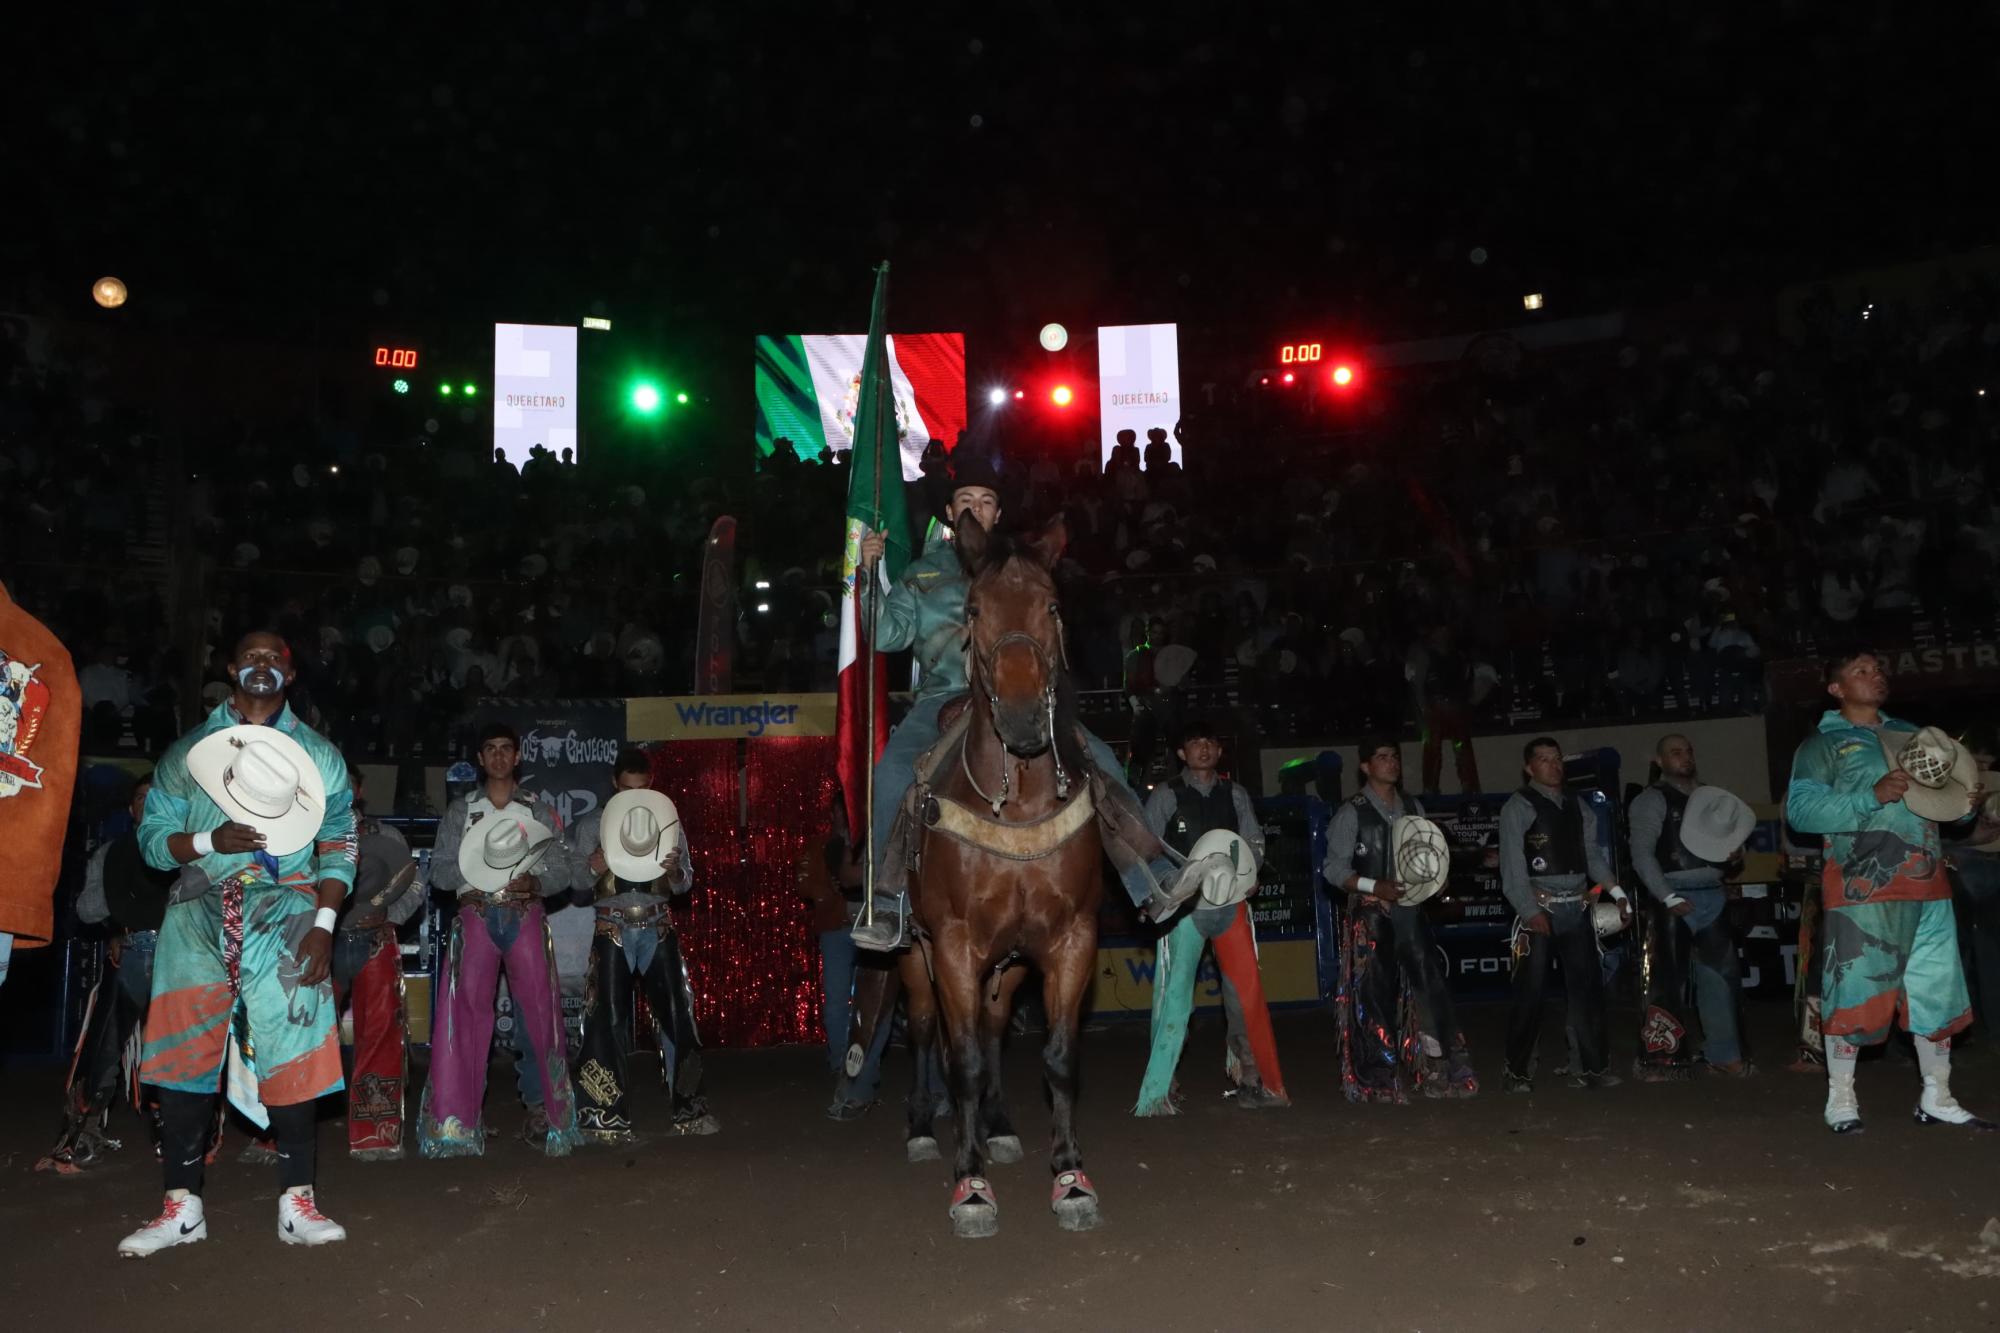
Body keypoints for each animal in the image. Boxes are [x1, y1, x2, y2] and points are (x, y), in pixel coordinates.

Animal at [872, 510, 1104, 1232]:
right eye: (974, 609)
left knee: (998, 1027)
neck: (1019, 801)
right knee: (927, 1031)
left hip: (1013, 962)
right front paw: (970, 1184)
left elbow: (1058, 1057)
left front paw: (1071, 1176)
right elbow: (964, 1059)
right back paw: (923, 1129)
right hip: (915, 958)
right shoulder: (952, 945)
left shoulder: (1069, 940)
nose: (1026, 718)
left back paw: (999, 1126)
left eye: (1052, 606)